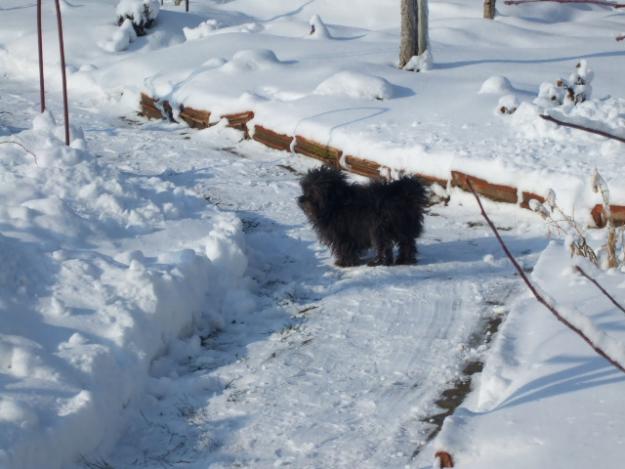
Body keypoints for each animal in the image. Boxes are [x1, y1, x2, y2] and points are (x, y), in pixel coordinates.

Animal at [296, 165, 424, 266]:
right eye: (305, 189)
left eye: (313, 191)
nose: (301, 200)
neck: (336, 202)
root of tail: (405, 194)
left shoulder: (343, 232)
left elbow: (344, 247)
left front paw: (344, 262)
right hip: (402, 227)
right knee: (407, 243)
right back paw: (404, 260)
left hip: (380, 227)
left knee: (383, 245)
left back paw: (378, 262)